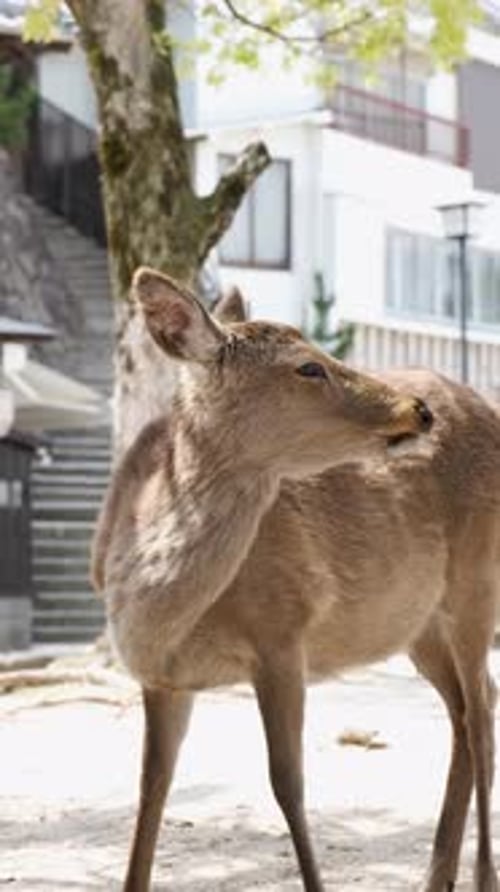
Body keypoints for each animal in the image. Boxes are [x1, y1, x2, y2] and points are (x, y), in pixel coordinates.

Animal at [92, 266, 500, 892]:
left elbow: (288, 783)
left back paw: (480, 875)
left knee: (480, 715)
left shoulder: (283, 630)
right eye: (307, 367)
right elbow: (150, 790)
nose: (420, 409)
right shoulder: (163, 678)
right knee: (465, 711)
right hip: (416, 623)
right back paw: (437, 875)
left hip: (477, 579)